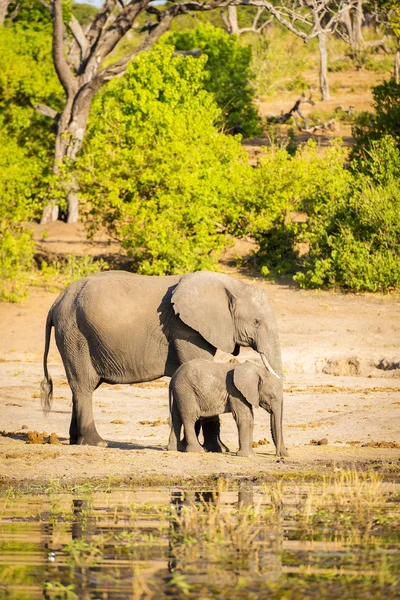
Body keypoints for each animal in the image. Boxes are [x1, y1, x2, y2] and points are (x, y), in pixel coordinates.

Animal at [40, 270, 286, 452]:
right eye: (256, 322)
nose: (282, 455)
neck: (231, 285)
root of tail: (55, 303)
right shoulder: (186, 329)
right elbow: (201, 365)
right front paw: (217, 450)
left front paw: (191, 446)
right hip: (75, 335)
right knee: (84, 386)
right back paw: (97, 443)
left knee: (79, 387)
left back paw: (76, 441)